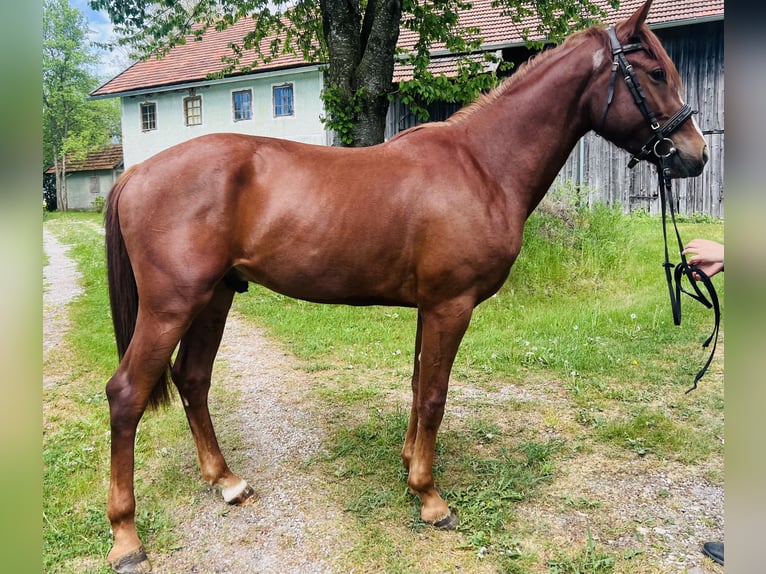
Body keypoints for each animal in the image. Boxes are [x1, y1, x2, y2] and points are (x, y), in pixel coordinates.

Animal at [103, 1, 707, 571]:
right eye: (655, 71)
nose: (695, 155)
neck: (481, 166)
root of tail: (135, 175)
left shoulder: (429, 307)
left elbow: (418, 386)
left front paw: (409, 466)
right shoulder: (450, 305)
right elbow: (435, 395)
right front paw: (431, 498)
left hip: (216, 297)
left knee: (193, 378)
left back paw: (226, 481)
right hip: (172, 306)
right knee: (127, 394)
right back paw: (126, 537)